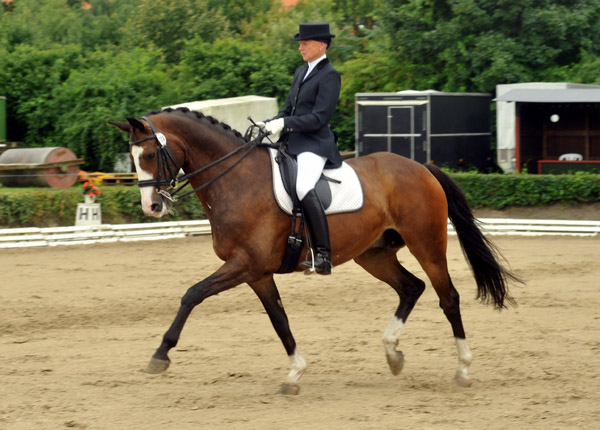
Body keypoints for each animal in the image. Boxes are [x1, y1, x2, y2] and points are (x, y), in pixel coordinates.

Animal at [110, 107, 516, 394]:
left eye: (149, 155)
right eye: (132, 158)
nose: (151, 207)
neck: (236, 180)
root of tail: (422, 167)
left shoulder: (244, 265)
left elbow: (192, 294)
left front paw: (160, 355)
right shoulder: (257, 273)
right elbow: (279, 320)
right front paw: (294, 374)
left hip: (427, 244)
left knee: (448, 297)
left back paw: (462, 369)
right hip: (374, 254)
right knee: (411, 288)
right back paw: (392, 354)